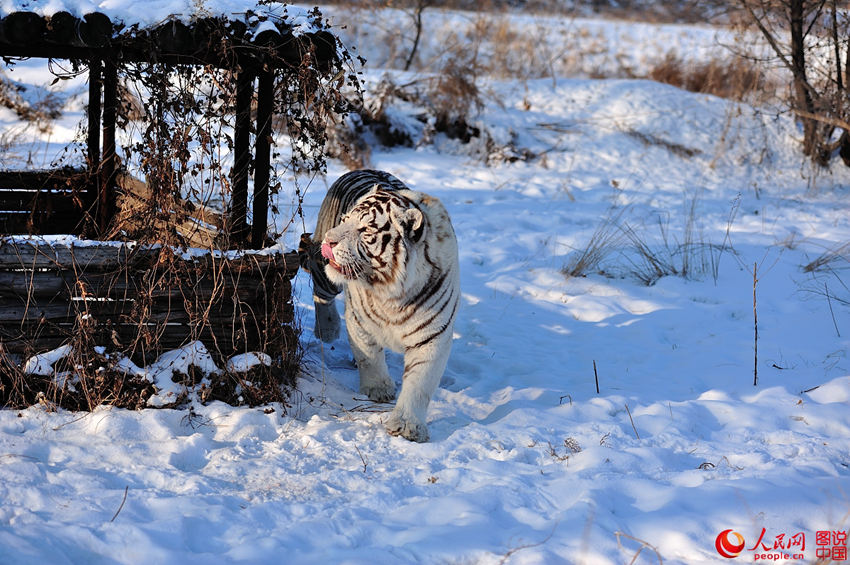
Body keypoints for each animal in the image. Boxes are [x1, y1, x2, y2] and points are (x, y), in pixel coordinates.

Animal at [298, 170, 458, 442]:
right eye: (345, 220)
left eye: (364, 229)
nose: (330, 241)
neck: (393, 293)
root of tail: (360, 170)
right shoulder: (359, 321)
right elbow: (369, 357)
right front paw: (378, 390)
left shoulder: (432, 336)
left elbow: (419, 384)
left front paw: (407, 427)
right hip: (325, 276)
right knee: (321, 293)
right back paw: (327, 330)